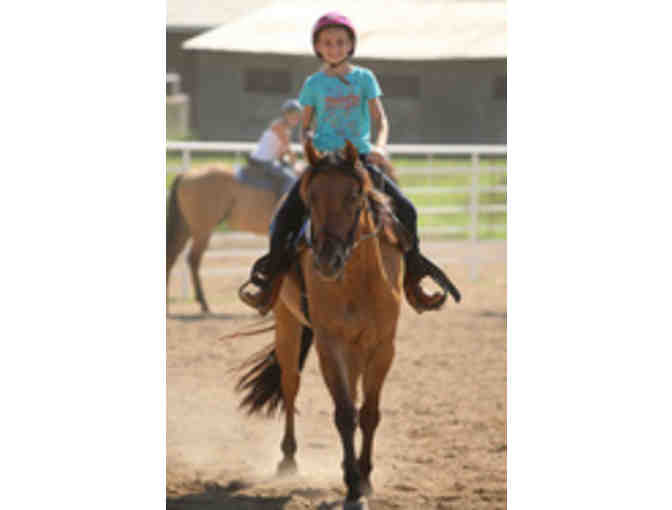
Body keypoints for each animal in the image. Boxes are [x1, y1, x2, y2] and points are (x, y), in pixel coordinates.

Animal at [166, 158, 399, 314]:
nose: (390, 202)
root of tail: (186, 175)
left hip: (188, 228)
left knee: (173, 257)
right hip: (202, 229)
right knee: (193, 259)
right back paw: (204, 303)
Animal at [235, 140, 408, 509]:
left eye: (355, 195)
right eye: (310, 197)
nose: (327, 259)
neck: (359, 280)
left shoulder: (383, 346)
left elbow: (368, 413)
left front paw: (364, 478)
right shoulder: (330, 345)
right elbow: (344, 413)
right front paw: (353, 488)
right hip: (288, 324)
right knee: (290, 384)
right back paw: (288, 459)